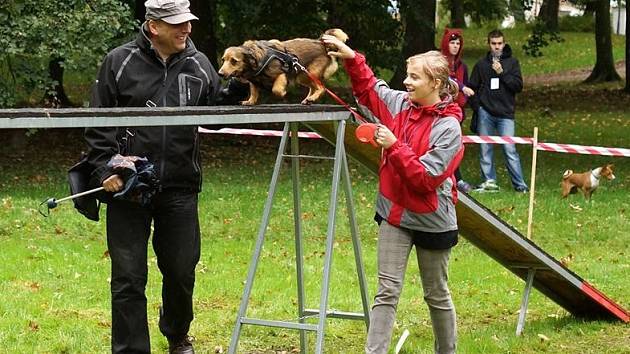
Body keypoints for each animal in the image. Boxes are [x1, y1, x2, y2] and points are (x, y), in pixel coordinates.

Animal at [216, 28, 346, 105]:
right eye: (223, 60)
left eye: (234, 61)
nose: (220, 74)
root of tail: (321, 43)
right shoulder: (254, 81)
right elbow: (253, 91)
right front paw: (250, 101)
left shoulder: (281, 73)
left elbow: (276, 89)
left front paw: (282, 93)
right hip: (303, 75)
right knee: (313, 87)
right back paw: (308, 99)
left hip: (310, 72)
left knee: (321, 87)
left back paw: (312, 98)